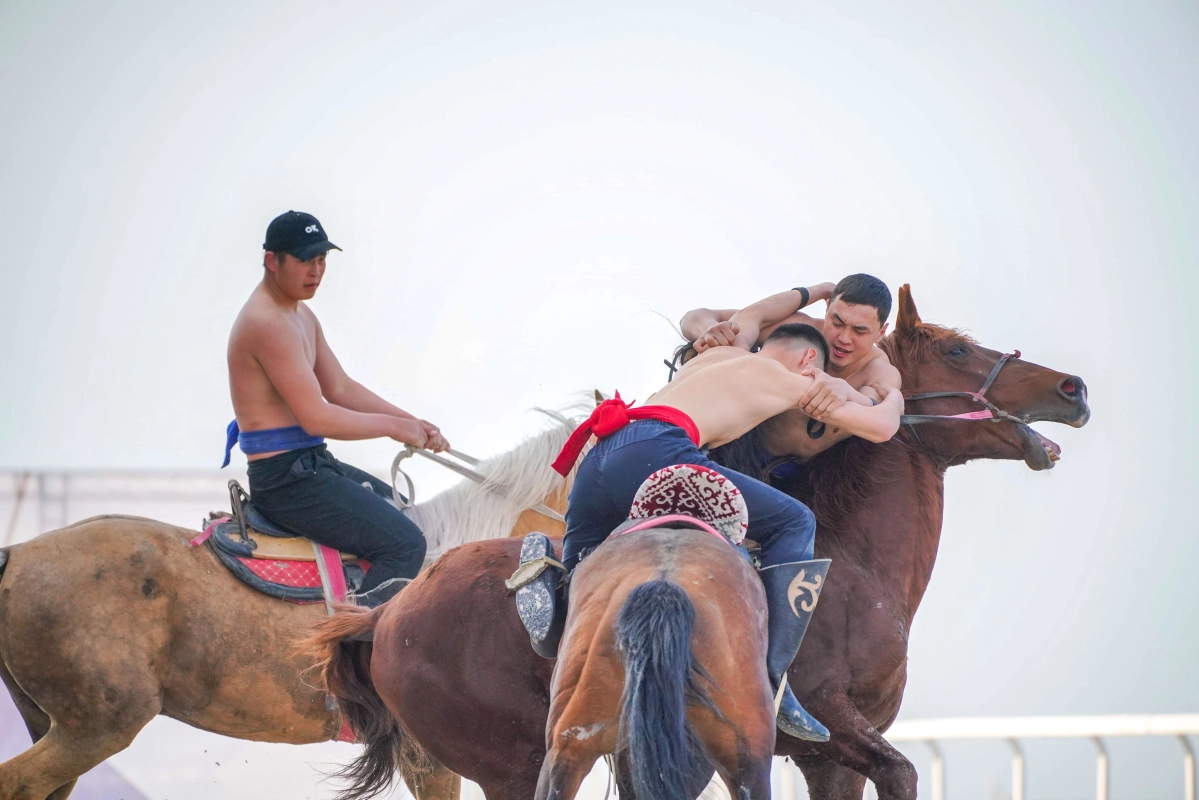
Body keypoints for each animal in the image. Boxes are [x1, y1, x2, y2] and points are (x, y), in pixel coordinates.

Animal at [306, 286, 1088, 800]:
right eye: (956, 348)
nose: (1071, 387)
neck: (854, 570)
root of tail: (388, 612)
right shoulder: (825, 722)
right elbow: (898, 769)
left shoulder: (831, 758)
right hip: (512, 762)